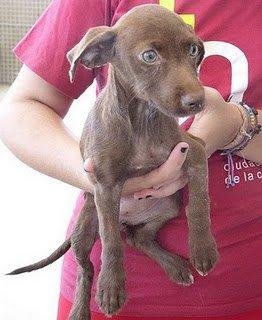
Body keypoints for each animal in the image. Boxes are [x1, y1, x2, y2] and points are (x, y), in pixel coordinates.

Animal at [7, 5, 219, 320]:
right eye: (149, 56)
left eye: (193, 50)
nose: (197, 101)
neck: (143, 120)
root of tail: (127, 219)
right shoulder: (105, 186)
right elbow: (110, 242)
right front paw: (111, 288)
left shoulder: (192, 149)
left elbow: (199, 202)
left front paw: (203, 249)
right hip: (85, 227)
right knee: (87, 265)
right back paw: (81, 309)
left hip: (168, 205)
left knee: (138, 238)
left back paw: (175, 266)